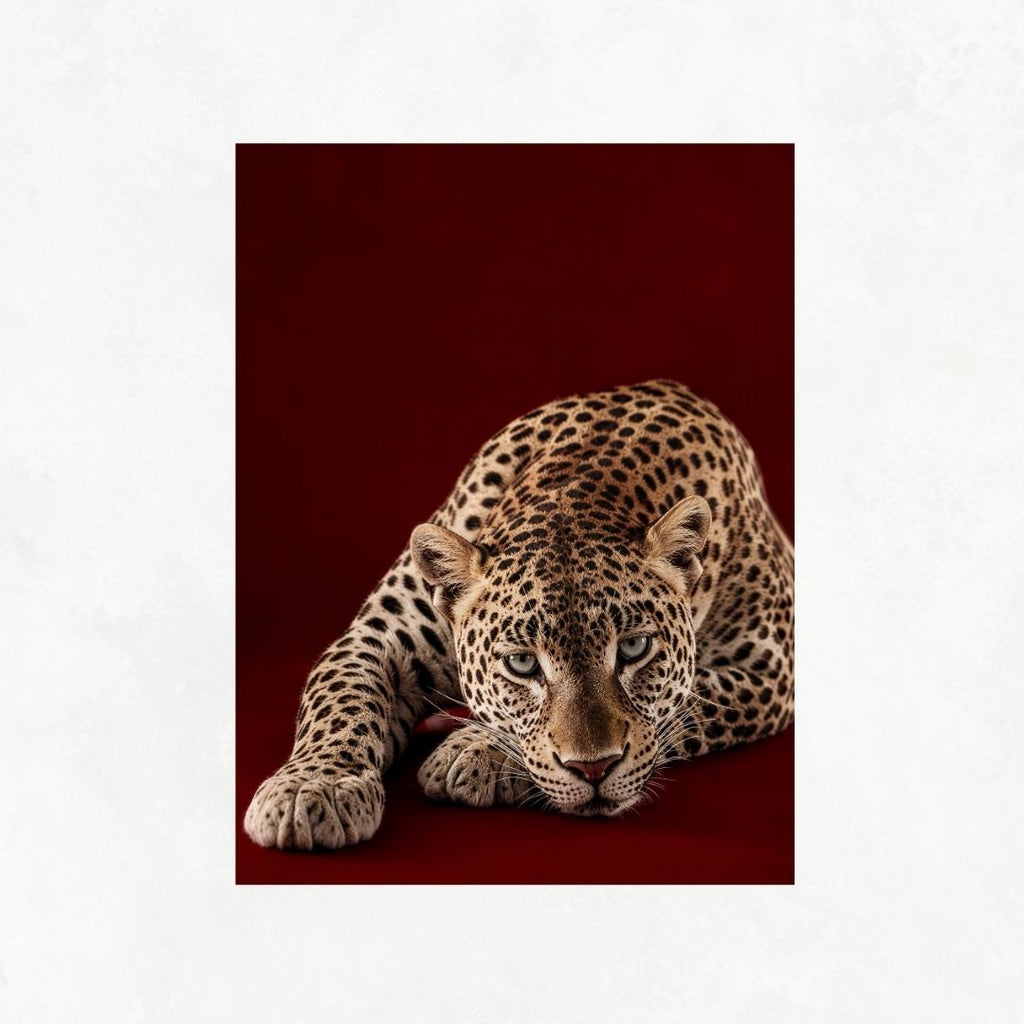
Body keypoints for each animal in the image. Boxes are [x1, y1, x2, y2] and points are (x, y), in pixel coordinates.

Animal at [243, 380, 794, 849]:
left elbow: (690, 703)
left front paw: (472, 751)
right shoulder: (380, 638)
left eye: (635, 648)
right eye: (522, 663)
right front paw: (312, 790)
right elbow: (339, 697)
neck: (580, 489)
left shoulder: (770, 667)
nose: (595, 770)